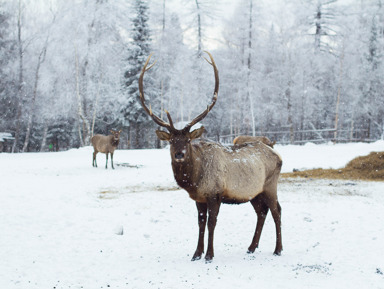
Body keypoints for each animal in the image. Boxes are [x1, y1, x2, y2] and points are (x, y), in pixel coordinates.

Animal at [140, 51, 284, 260]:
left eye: (187, 140)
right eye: (171, 141)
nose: (179, 154)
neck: (194, 180)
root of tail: (277, 154)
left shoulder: (215, 193)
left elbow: (211, 223)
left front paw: (209, 254)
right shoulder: (199, 198)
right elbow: (200, 222)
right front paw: (196, 253)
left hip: (270, 185)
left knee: (276, 211)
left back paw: (278, 249)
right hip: (254, 192)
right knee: (261, 212)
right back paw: (251, 247)